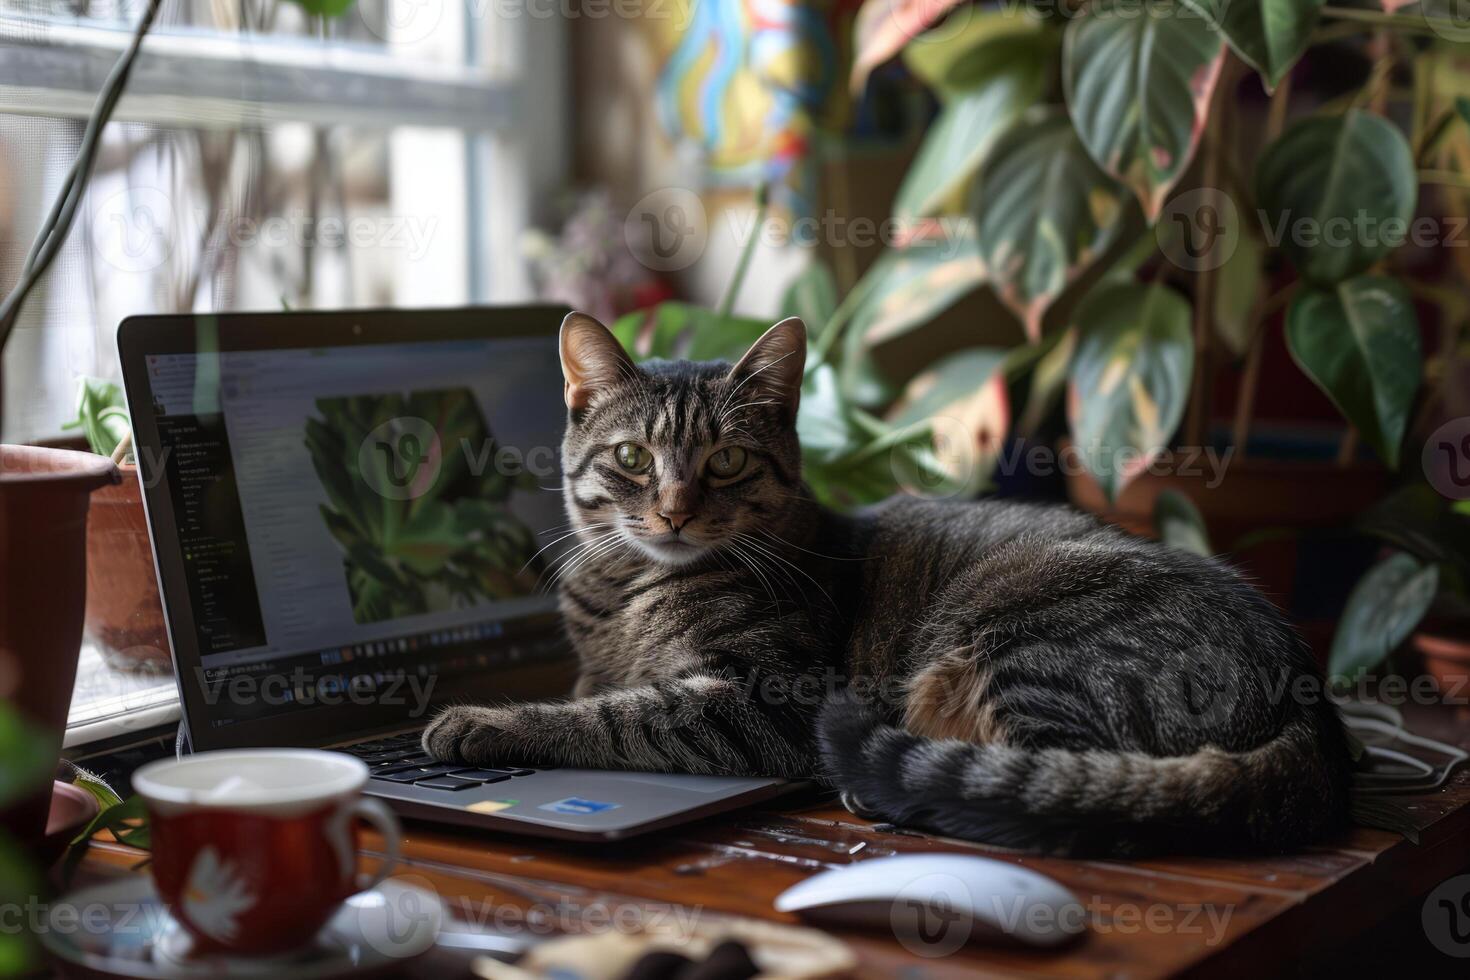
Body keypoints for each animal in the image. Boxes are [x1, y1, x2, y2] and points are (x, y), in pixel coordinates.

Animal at [420, 310, 1346, 852]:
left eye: (726, 461)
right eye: (632, 458)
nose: (676, 511)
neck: (623, 595)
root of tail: (1310, 701)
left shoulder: (768, 697)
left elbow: (613, 716)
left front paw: (479, 721)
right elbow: (596, 691)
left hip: (1025, 644)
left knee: (1069, 789)